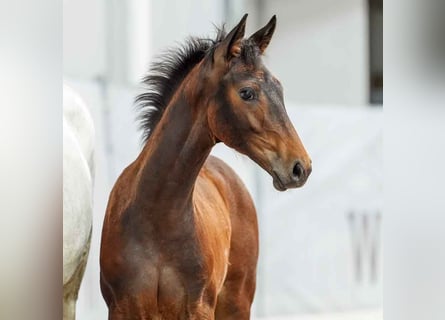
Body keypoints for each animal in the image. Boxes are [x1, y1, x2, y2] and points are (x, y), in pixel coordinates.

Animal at [99, 14, 310, 320]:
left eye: (280, 89)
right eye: (247, 93)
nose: (300, 167)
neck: (156, 216)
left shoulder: (198, 308)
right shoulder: (122, 308)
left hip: (236, 302)